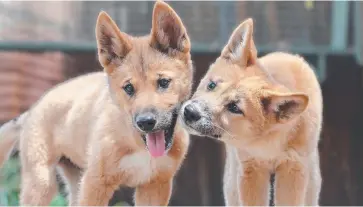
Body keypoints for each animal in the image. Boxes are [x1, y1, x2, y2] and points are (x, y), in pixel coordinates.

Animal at [0, 1, 195, 205]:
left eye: (164, 82)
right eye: (128, 88)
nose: (145, 122)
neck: (138, 144)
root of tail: (34, 107)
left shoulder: (155, 186)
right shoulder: (95, 184)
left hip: (74, 181)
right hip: (42, 183)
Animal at [182, 18, 324, 206]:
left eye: (234, 107)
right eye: (211, 85)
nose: (190, 112)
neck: (268, 143)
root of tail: (285, 54)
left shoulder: (292, 170)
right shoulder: (251, 169)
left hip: (311, 178)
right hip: (232, 180)